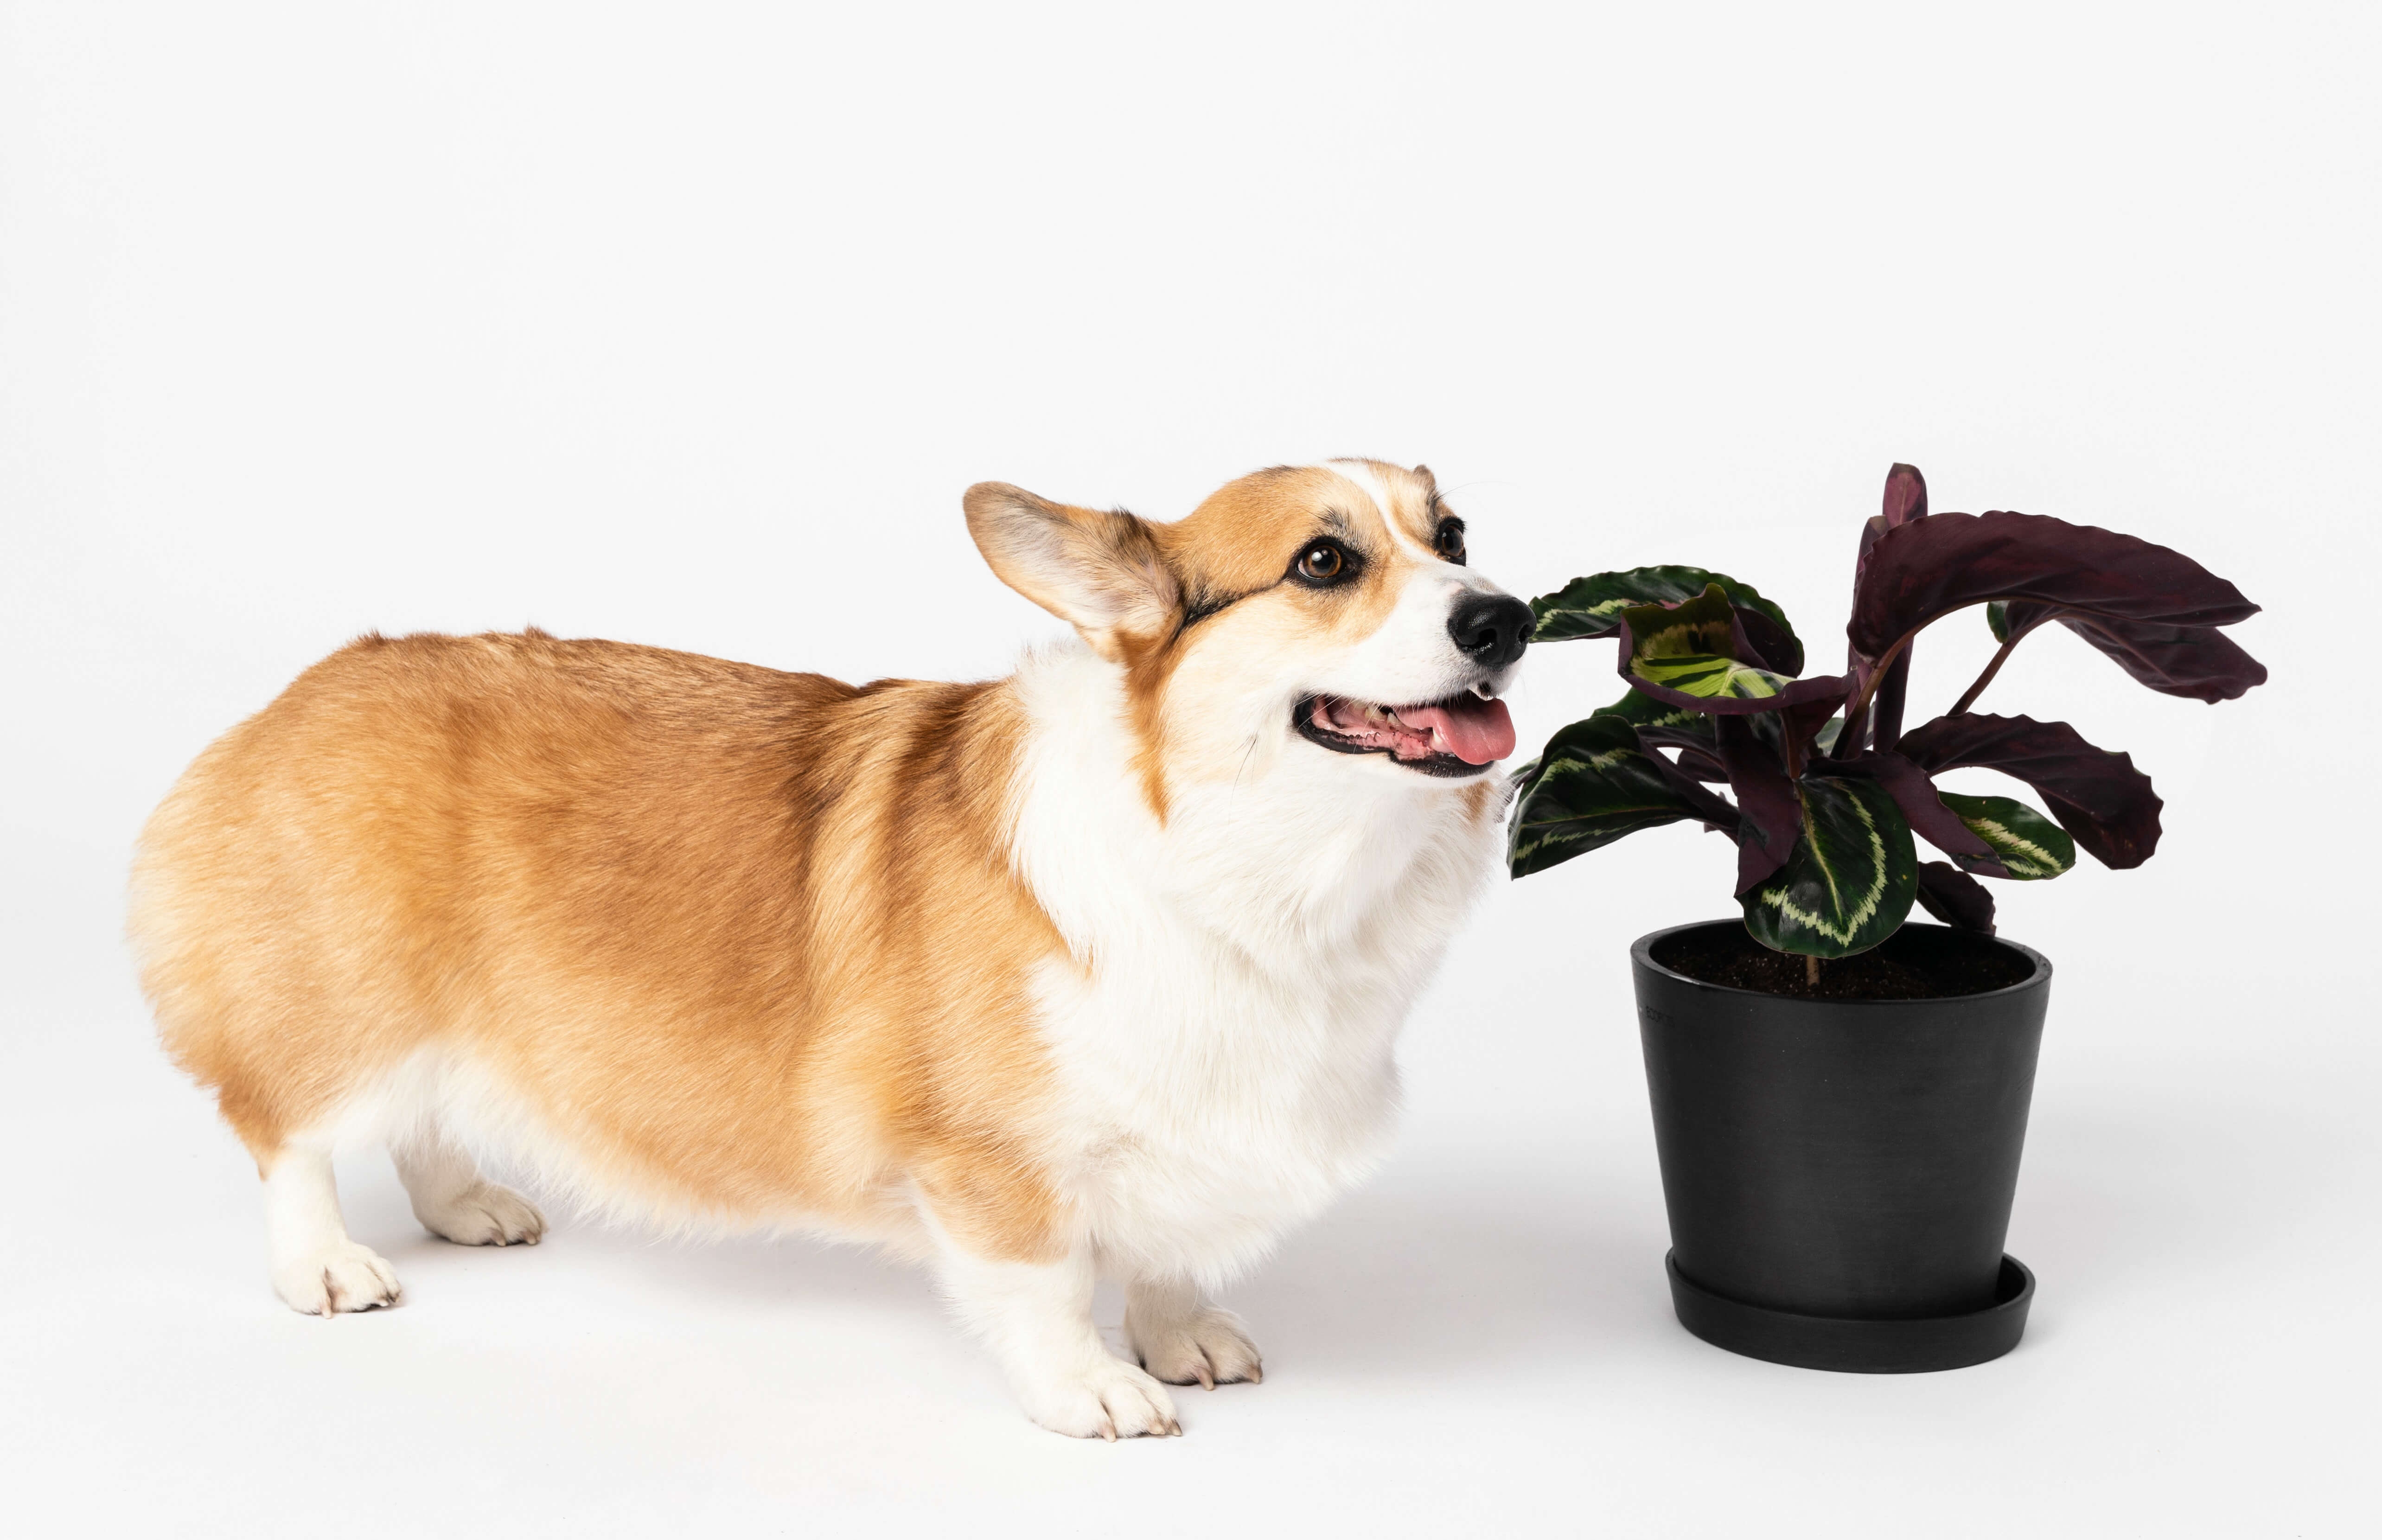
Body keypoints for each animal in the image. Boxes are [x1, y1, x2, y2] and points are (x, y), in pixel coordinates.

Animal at [130, 455, 1524, 1440]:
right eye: (1323, 560)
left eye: (1453, 536)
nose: (1508, 619)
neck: (1253, 855)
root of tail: (303, 691)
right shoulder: (991, 1158)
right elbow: (1048, 1281)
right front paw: (1091, 1388)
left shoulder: (1180, 1119)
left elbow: (1163, 1246)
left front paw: (1178, 1333)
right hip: (350, 1002)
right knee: (290, 1132)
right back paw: (324, 1264)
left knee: (423, 1112)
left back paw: (463, 1202)